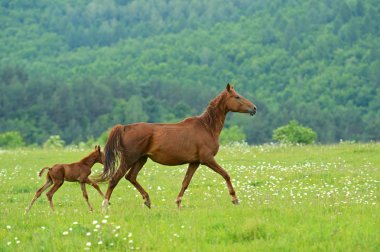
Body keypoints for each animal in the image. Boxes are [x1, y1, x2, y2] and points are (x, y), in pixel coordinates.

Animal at [96, 83, 256, 211]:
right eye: (237, 97)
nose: (254, 108)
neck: (207, 127)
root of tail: (124, 128)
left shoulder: (195, 162)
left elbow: (185, 182)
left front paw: (178, 204)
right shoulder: (207, 159)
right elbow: (226, 174)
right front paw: (235, 199)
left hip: (141, 159)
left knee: (131, 177)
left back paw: (147, 200)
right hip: (129, 159)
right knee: (114, 179)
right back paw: (104, 206)